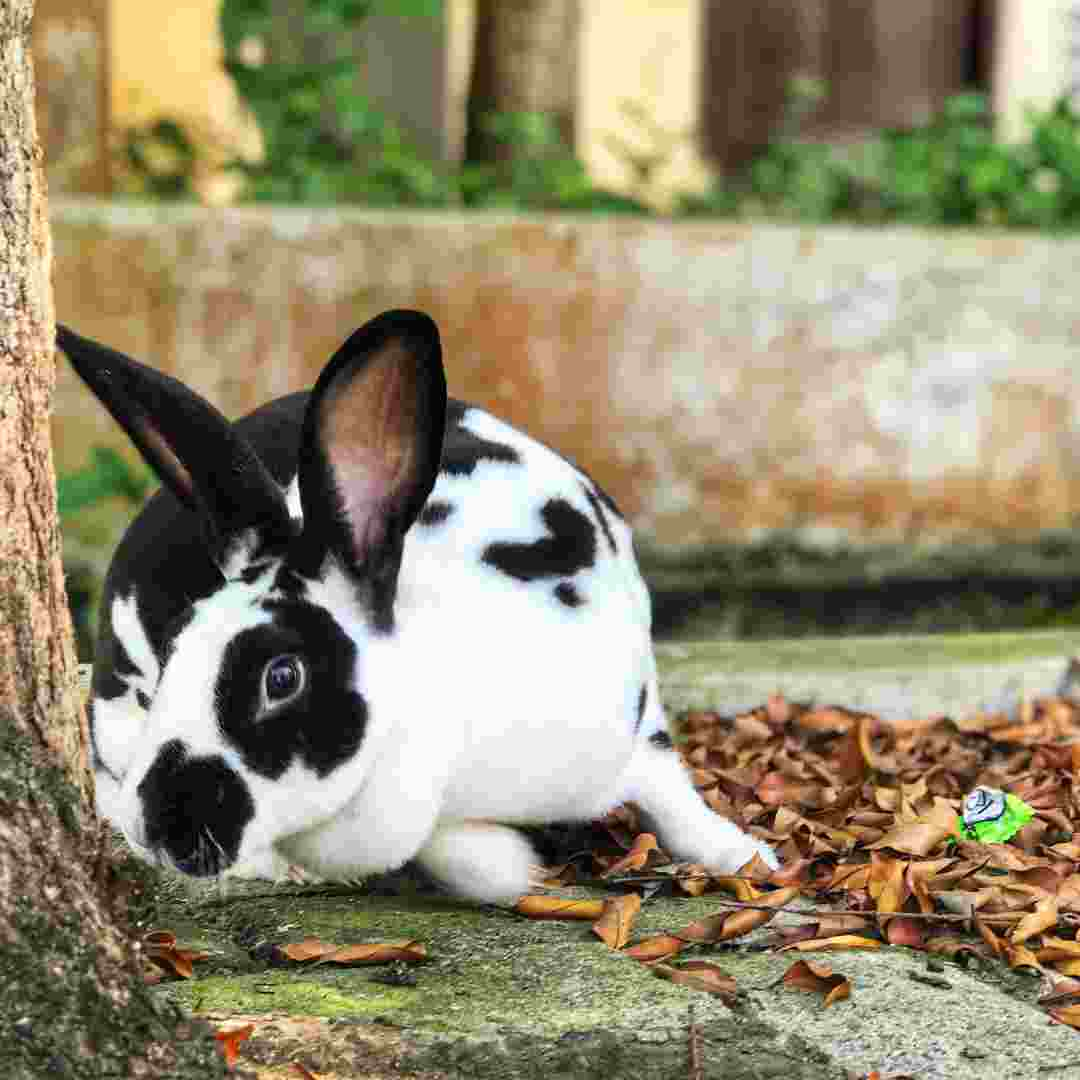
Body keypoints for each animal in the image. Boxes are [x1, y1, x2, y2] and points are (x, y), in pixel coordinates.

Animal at [56, 313, 777, 902]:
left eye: (281, 677)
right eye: (179, 648)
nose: (155, 824)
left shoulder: (635, 717)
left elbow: (670, 789)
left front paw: (746, 856)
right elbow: (467, 858)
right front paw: (511, 862)